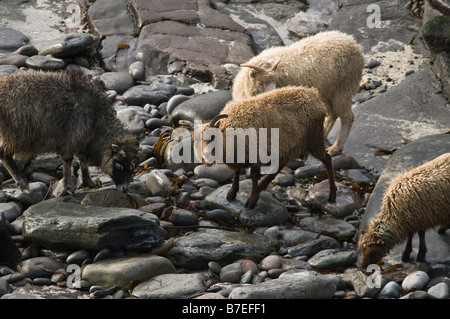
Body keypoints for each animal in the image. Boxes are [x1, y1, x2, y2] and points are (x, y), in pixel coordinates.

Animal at [0, 69, 140, 195]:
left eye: (133, 168)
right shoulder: (73, 139)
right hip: (17, 135)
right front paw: (69, 187)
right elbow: (68, 161)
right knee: (3, 153)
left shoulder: (82, 141)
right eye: (119, 166)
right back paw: (22, 182)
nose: (125, 190)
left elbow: (82, 160)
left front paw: (89, 182)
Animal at [202, 85, 336, 210]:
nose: (205, 156)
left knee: (327, 159)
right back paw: (262, 185)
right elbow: (236, 172)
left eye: (213, 137)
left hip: (314, 139)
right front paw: (232, 193)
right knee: (281, 164)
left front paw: (252, 200)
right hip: (289, 146)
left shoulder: (255, 154)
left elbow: (253, 175)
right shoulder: (239, 155)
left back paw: (332, 195)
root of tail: (314, 95)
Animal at [232, 31, 366, 156]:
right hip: (326, 93)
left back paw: (336, 148)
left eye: (275, 82)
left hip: (344, 88)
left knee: (347, 117)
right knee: (332, 114)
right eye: (260, 83)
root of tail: (352, 41)